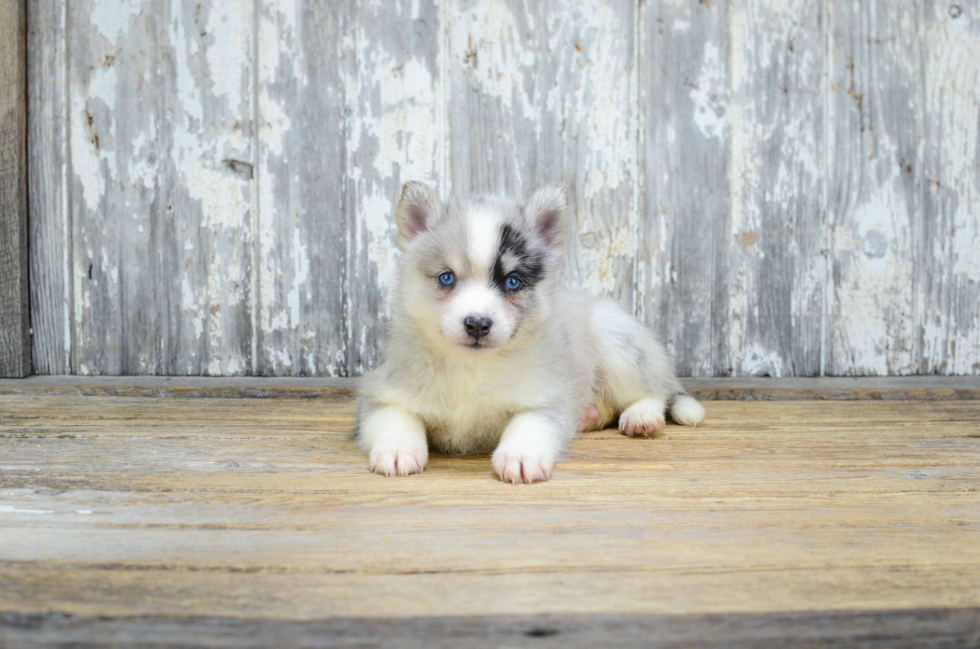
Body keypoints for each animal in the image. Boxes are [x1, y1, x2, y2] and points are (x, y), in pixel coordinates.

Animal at [358, 181, 704, 480]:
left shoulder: (544, 397)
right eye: (446, 278)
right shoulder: (383, 393)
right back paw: (589, 415)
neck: (472, 368)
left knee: (653, 390)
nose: (477, 324)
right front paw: (398, 449)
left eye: (512, 282)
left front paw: (521, 455)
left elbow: (531, 425)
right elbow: (395, 417)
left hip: (618, 344)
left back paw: (641, 417)